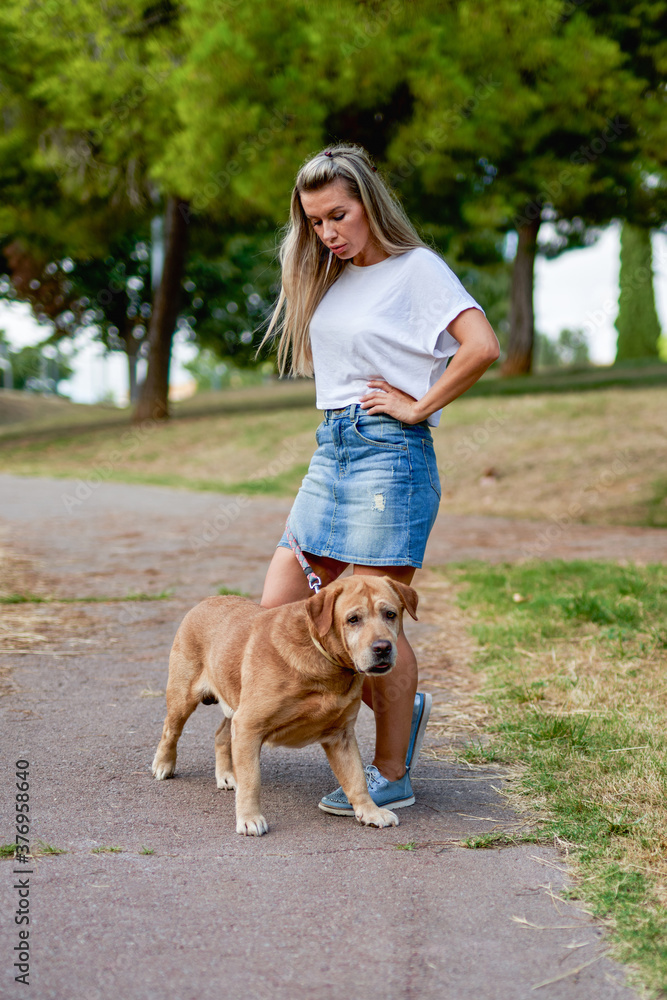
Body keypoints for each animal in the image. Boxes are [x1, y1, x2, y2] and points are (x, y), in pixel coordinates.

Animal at [154, 576, 420, 832]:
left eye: (390, 614)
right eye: (353, 619)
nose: (383, 647)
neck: (325, 663)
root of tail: (206, 600)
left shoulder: (341, 736)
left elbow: (356, 779)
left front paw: (370, 811)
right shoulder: (248, 725)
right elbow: (251, 781)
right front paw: (249, 819)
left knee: (221, 734)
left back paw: (227, 775)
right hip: (183, 697)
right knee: (170, 730)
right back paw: (163, 764)